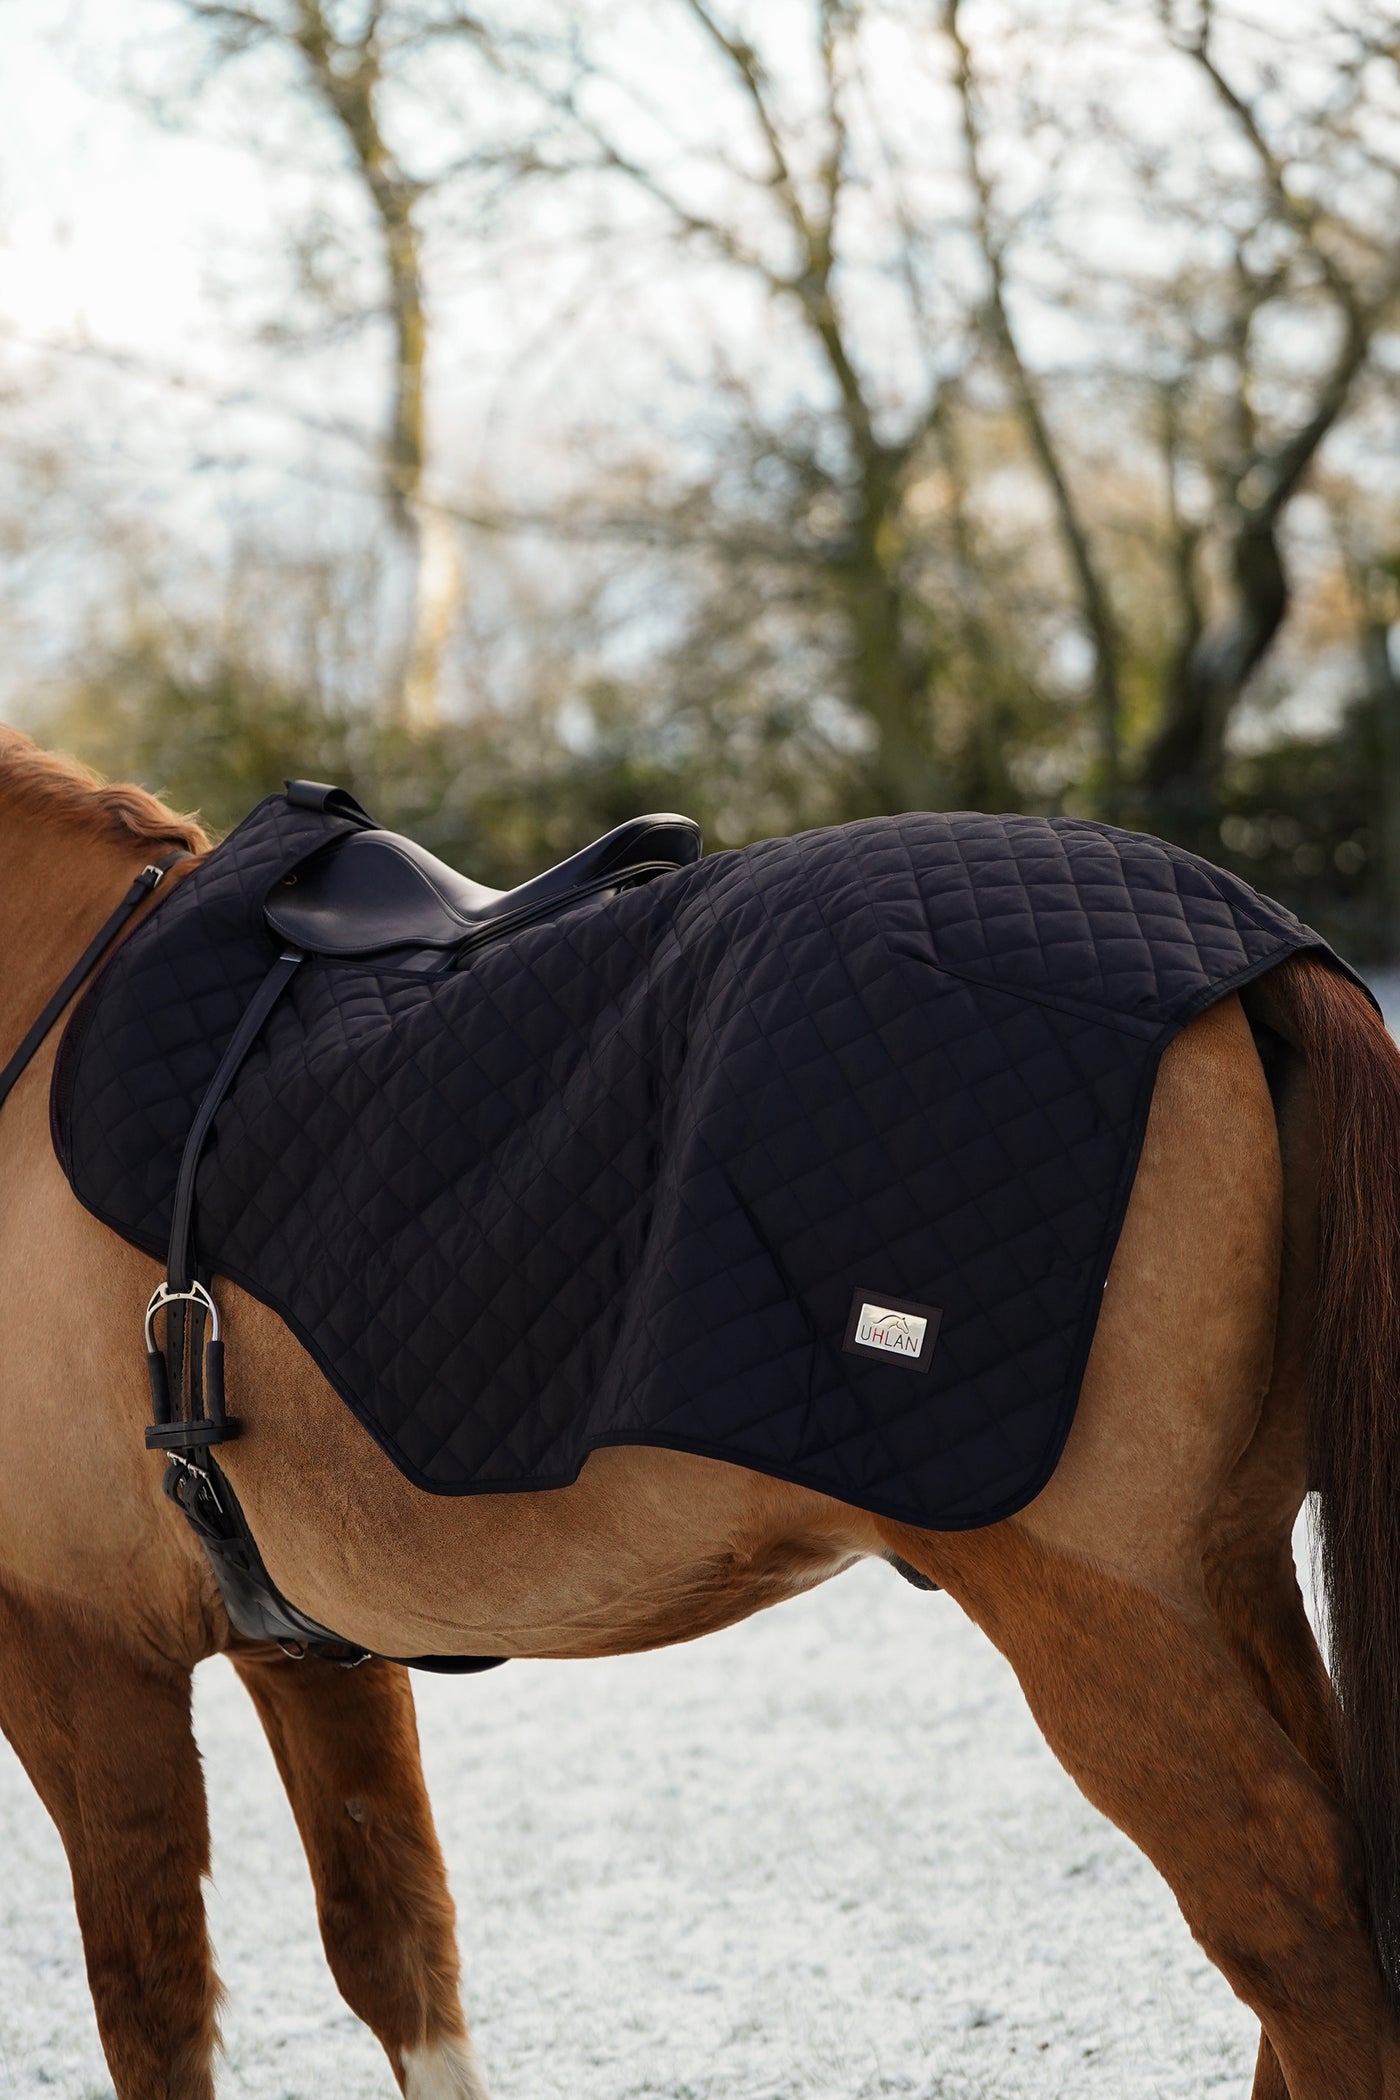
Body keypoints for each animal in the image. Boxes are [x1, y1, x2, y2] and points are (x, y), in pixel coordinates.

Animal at [2, 724, 1400, 2100]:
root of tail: (1242, 946)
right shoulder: (304, 1648)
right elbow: (397, 1956)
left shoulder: (80, 1656)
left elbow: (152, 2009)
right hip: (1226, 1569)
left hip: (1106, 1607)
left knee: (1299, 1941)